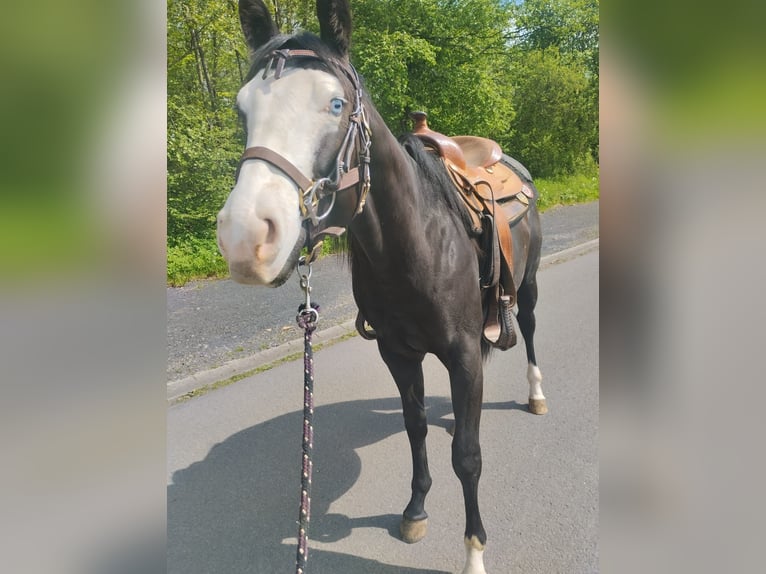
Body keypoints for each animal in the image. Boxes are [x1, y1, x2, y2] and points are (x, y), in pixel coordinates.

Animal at [216, 1, 545, 572]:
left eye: (336, 104)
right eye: (242, 109)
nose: (245, 236)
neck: (415, 245)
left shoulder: (462, 353)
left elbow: (468, 457)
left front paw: (474, 551)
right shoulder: (398, 353)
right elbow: (416, 428)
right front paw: (415, 510)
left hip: (526, 289)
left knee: (525, 331)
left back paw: (537, 394)